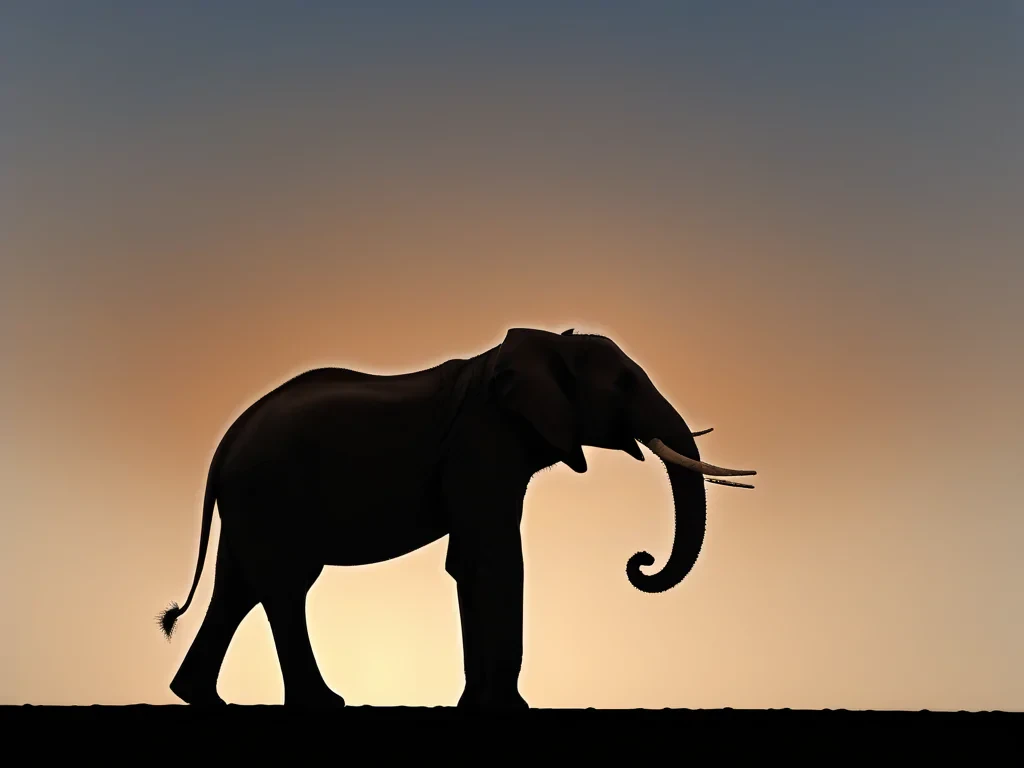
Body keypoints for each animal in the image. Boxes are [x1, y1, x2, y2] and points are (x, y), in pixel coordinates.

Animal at [157, 326, 756, 709]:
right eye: (625, 385)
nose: (640, 562)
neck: (543, 345)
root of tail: (226, 442)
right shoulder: (482, 443)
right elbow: (496, 558)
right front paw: (508, 708)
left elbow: (470, 562)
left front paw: (478, 703)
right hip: (272, 492)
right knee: (284, 587)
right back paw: (324, 705)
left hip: (251, 502)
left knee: (238, 588)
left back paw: (200, 698)